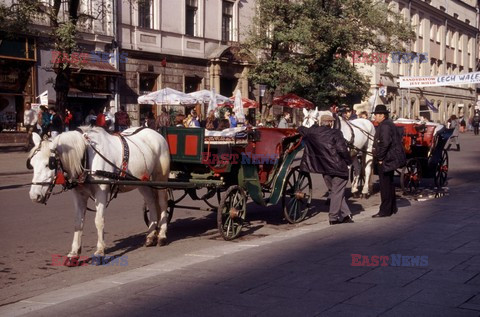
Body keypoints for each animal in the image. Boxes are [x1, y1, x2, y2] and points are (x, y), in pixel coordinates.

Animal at [28, 126, 171, 264]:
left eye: (49, 164)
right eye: (32, 164)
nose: (34, 196)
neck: (86, 158)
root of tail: (154, 132)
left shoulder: (101, 192)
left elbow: (99, 221)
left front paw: (99, 252)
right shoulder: (78, 195)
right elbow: (78, 222)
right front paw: (73, 254)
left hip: (160, 178)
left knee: (163, 203)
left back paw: (162, 235)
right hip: (142, 181)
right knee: (151, 201)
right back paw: (151, 236)